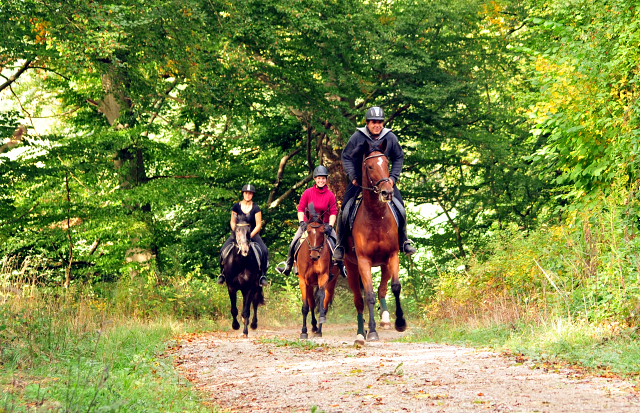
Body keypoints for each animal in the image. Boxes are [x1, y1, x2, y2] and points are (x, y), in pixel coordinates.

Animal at [296, 202, 340, 338]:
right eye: (309, 231)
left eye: (322, 232)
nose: (315, 256)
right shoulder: (303, 280)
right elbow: (305, 306)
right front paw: (303, 331)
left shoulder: (323, 277)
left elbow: (321, 301)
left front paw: (319, 325)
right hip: (310, 285)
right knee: (311, 304)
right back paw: (314, 327)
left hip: (330, 284)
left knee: (324, 304)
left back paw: (319, 329)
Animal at [342, 138, 408, 344]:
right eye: (370, 166)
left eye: (386, 163)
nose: (387, 192)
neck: (376, 216)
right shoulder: (363, 261)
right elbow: (369, 296)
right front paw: (371, 332)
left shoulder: (392, 256)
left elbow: (395, 287)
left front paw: (400, 323)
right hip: (352, 268)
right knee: (359, 301)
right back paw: (360, 334)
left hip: (384, 264)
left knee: (382, 289)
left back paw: (385, 318)